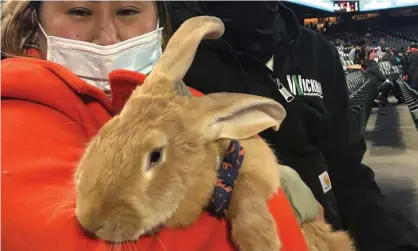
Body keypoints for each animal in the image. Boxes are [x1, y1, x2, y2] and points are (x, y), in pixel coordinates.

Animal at [75, 16, 356, 251]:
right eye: (104, 133)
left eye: (155, 156)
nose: (90, 220)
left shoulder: (259, 165)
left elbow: (248, 189)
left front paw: (260, 240)